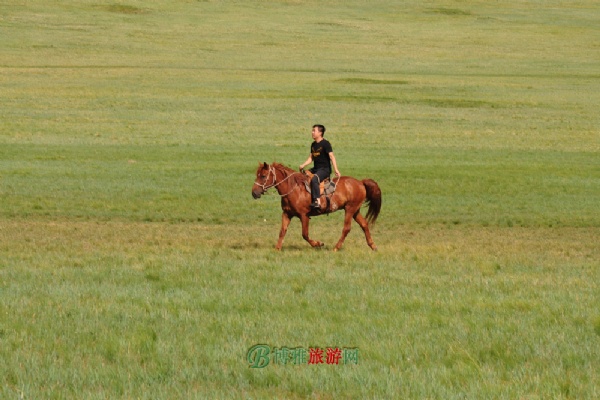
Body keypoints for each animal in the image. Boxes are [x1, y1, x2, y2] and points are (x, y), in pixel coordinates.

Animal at [252, 162, 382, 250]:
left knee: (347, 228)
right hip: (355, 211)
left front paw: (318, 244)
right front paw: (277, 249)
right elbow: (282, 231)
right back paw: (373, 246)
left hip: (350, 209)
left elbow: (305, 234)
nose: (254, 193)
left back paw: (336, 247)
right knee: (364, 224)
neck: (293, 189)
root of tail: (361, 182)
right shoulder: (287, 214)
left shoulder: (304, 215)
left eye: (263, 176)